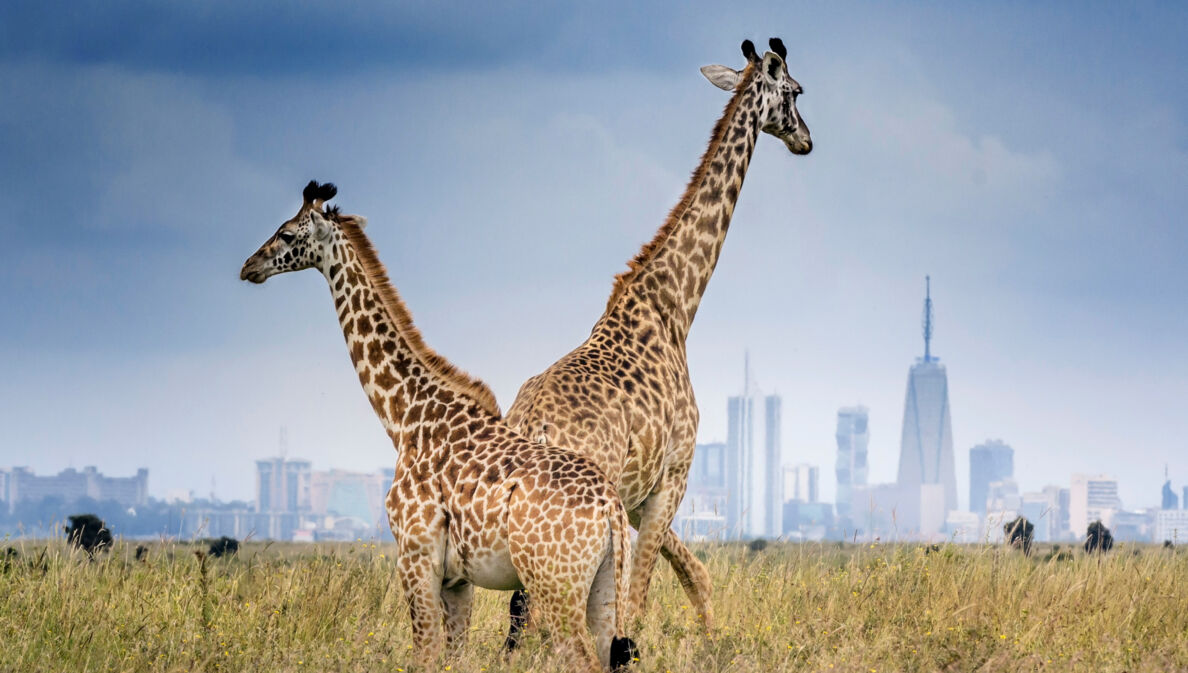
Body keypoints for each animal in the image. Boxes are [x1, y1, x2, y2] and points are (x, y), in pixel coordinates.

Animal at [239, 181, 641, 670]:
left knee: (577, 656)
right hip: (605, 586)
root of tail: (611, 510)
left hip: (553, 584)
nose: (249, 266)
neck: (406, 419)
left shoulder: (415, 558)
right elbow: (454, 655)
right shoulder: (457, 579)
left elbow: (426, 653)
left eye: (285, 233)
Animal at [506, 38, 812, 637]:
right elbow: (639, 603)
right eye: (795, 91)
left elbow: (697, 577)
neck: (676, 308)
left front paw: (712, 638)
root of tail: (531, 426)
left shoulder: (642, 494)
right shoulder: (674, 476)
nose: (808, 139)